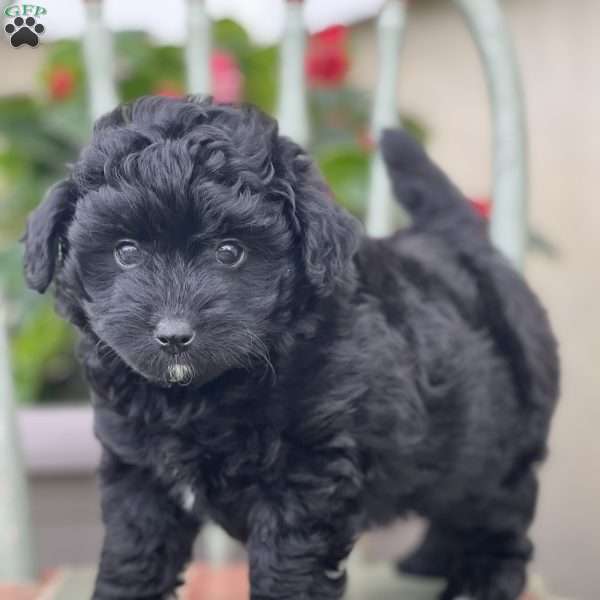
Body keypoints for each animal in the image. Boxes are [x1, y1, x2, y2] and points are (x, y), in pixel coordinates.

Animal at [22, 96, 556, 596]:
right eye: (126, 251)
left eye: (230, 251)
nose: (173, 334)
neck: (199, 397)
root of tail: (466, 245)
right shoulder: (139, 475)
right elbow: (133, 556)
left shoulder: (305, 480)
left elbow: (287, 570)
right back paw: (427, 561)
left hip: (501, 445)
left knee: (499, 514)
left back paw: (482, 582)